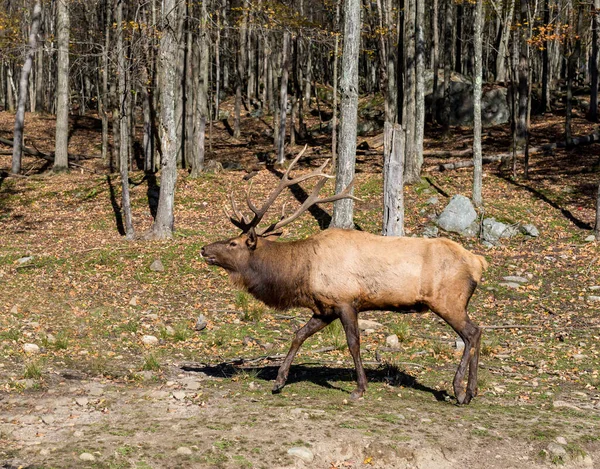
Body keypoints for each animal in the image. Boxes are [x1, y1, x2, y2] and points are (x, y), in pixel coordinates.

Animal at [202, 148, 488, 404]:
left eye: (233, 243)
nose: (205, 249)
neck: (301, 273)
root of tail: (478, 262)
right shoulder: (323, 308)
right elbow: (298, 334)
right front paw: (279, 381)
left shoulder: (345, 301)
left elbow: (353, 343)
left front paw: (359, 389)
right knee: (478, 331)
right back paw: (472, 391)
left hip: (448, 300)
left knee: (471, 333)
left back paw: (460, 391)